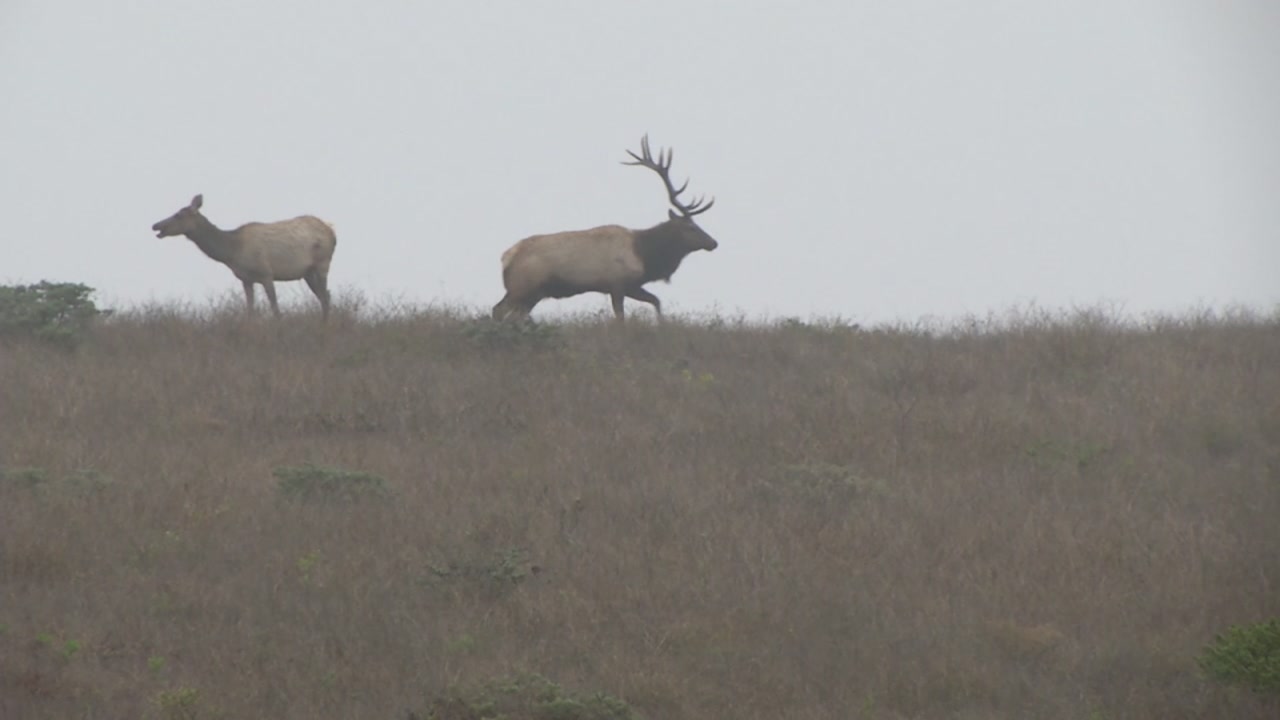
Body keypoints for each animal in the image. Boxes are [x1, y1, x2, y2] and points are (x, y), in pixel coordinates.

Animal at [151, 194, 337, 321]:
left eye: (179, 215)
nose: (155, 225)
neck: (232, 252)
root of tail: (332, 231)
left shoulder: (266, 273)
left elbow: (275, 307)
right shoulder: (245, 279)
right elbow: (250, 310)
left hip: (323, 263)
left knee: (325, 296)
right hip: (308, 272)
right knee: (323, 296)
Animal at [492, 134, 719, 322]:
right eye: (690, 227)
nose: (714, 243)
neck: (644, 255)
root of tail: (506, 258)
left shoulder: (632, 285)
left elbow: (656, 301)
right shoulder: (618, 283)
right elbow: (621, 317)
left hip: (533, 292)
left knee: (504, 311)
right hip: (524, 286)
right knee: (500, 311)